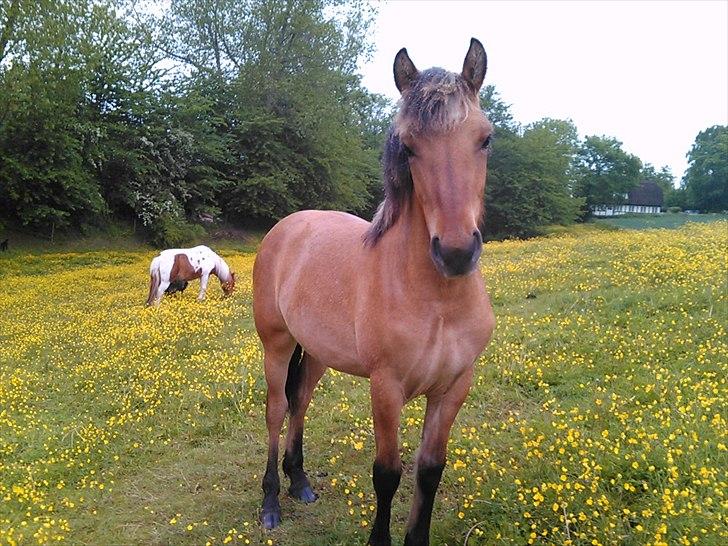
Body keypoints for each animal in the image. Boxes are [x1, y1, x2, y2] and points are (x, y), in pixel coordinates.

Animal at [253, 38, 498, 544]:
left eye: (485, 138)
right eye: (408, 145)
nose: (457, 253)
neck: (437, 302)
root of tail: (287, 227)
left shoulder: (454, 387)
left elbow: (430, 470)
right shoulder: (387, 388)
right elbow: (387, 473)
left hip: (318, 352)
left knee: (300, 402)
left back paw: (299, 481)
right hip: (277, 345)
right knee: (276, 409)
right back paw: (270, 503)